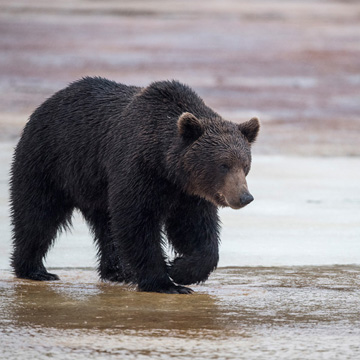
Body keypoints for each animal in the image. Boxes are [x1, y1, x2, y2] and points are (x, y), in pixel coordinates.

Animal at [9, 76, 258, 292]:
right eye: (223, 165)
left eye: (245, 164)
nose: (244, 197)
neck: (166, 166)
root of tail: (47, 103)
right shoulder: (137, 168)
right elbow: (137, 221)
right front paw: (165, 282)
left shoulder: (187, 193)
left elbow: (195, 229)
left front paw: (181, 270)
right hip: (51, 161)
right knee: (38, 214)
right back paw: (35, 270)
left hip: (95, 187)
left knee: (106, 226)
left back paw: (119, 272)